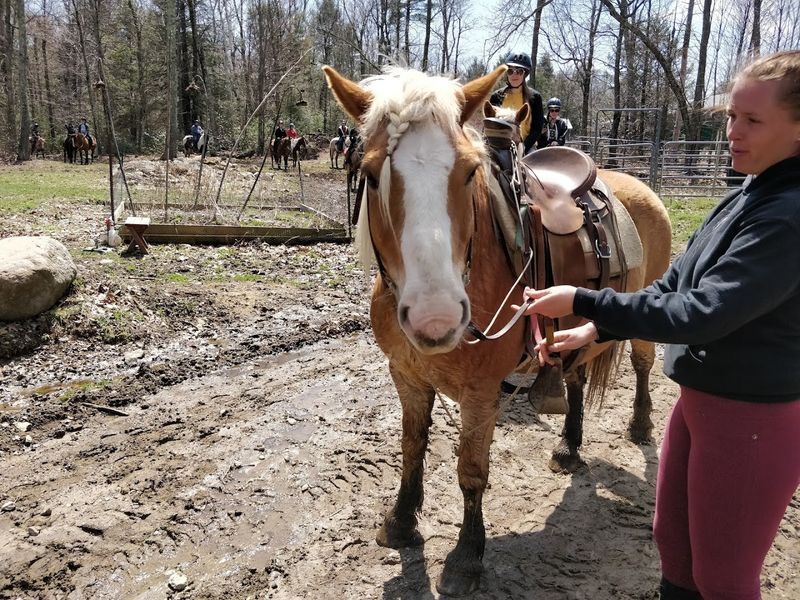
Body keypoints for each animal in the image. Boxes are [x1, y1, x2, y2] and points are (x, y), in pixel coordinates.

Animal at [323, 64, 672, 595]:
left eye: (469, 171)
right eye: (371, 172)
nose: (437, 317)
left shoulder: (481, 390)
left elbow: (471, 470)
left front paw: (468, 555)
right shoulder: (407, 376)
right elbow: (411, 447)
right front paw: (401, 523)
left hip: (642, 320)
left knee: (643, 363)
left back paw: (640, 424)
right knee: (575, 376)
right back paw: (569, 446)